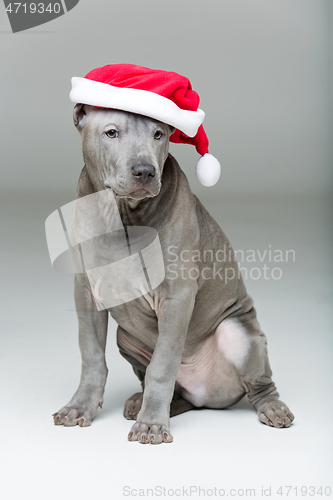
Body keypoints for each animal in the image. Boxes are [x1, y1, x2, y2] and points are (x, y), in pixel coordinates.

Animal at [52, 103, 294, 444]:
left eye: (159, 134)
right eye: (111, 132)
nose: (145, 172)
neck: (123, 215)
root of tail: (204, 396)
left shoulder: (175, 296)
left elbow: (162, 366)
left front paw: (152, 424)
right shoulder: (86, 291)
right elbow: (92, 355)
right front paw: (80, 406)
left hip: (239, 335)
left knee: (258, 384)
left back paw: (272, 408)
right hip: (126, 338)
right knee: (174, 392)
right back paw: (140, 402)